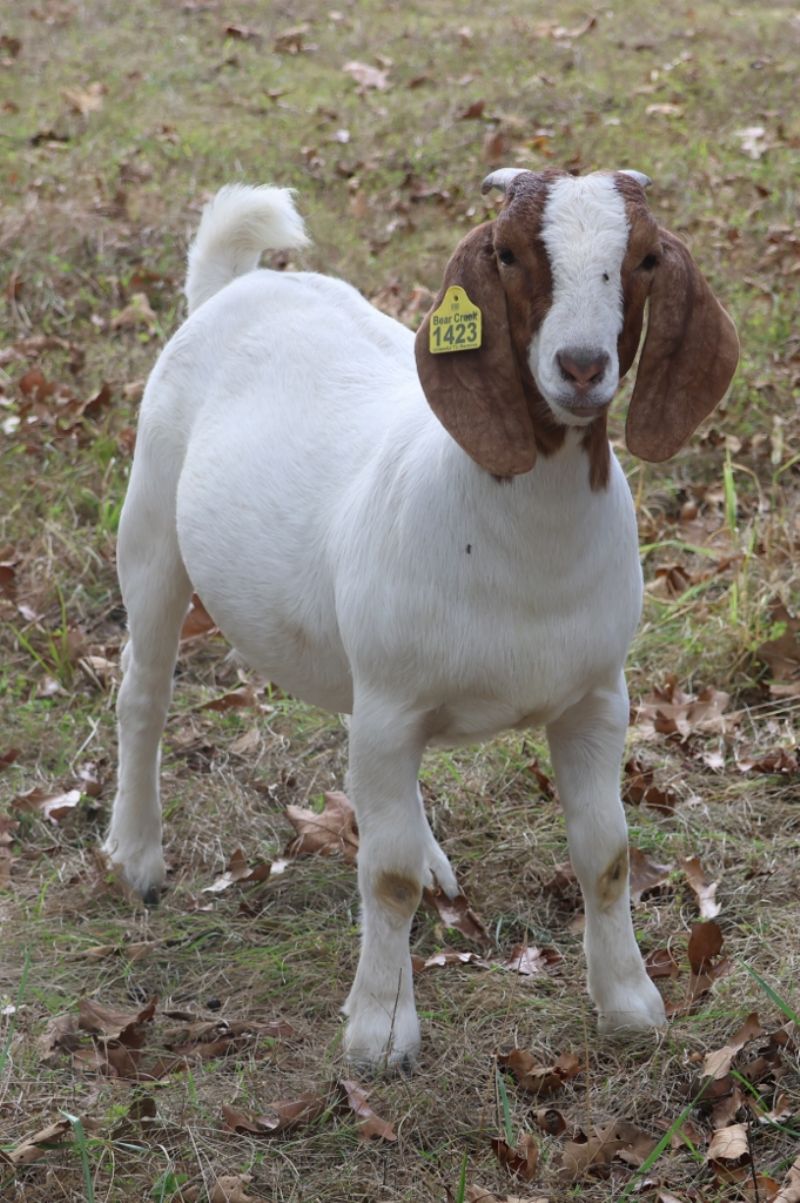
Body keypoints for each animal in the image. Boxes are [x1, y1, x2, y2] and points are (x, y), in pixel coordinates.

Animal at [104, 169, 739, 1069]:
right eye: (504, 252)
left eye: (646, 257)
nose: (581, 366)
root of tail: (235, 285)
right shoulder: (395, 703)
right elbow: (388, 876)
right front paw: (380, 1030)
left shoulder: (595, 700)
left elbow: (607, 853)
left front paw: (629, 1002)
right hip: (154, 528)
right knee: (144, 696)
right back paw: (138, 857)